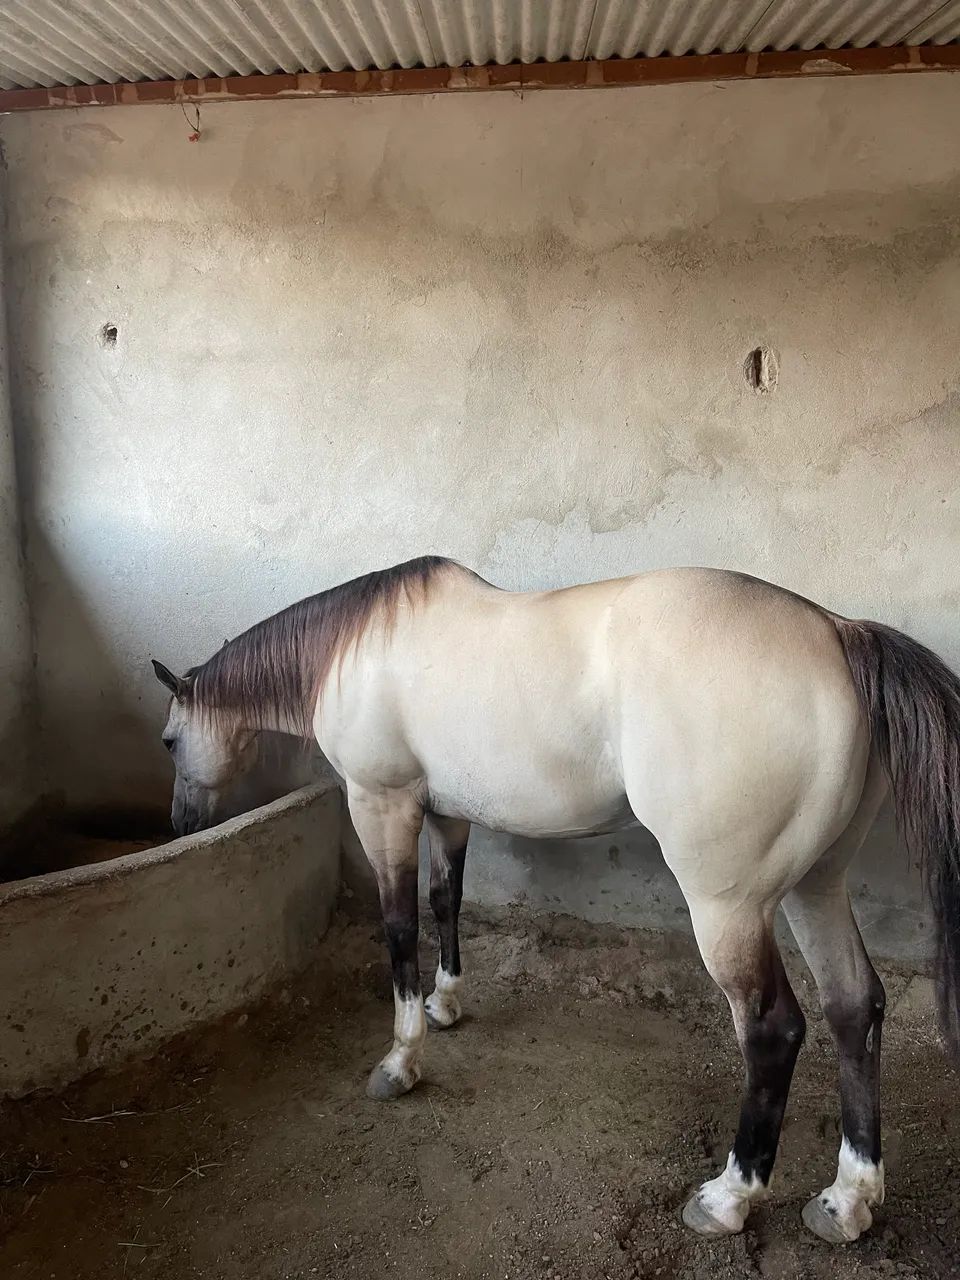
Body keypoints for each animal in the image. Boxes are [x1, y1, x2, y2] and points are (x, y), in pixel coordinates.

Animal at [152, 556, 960, 1245]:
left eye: (167, 740)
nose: (181, 825)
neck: (357, 647)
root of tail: (838, 632)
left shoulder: (382, 806)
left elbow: (400, 926)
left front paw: (400, 1060)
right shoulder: (446, 813)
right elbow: (446, 900)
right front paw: (445, 1005)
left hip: (730, 907)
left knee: (773, 1029)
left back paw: (729, 1197)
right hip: (815, 883)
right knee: (854, 1007)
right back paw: (848, 1201)